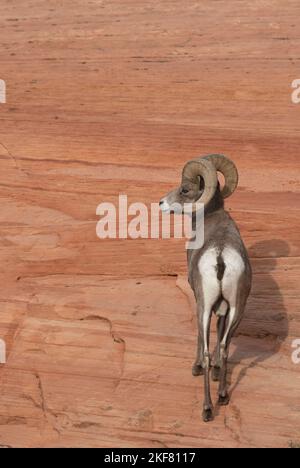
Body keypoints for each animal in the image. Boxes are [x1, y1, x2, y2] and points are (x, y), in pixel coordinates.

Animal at [158, 155, 252, 422]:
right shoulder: (223, 309)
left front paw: (198, 367)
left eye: (184, 189)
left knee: (209, 348)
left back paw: (208, 408)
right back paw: (222, 395)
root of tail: (220, 258)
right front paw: (218, 372)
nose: (161, 203)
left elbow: (201, 338)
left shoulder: (200, 300)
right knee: (224, 346)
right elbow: (220, 336)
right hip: (237, 309)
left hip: (205, 307)